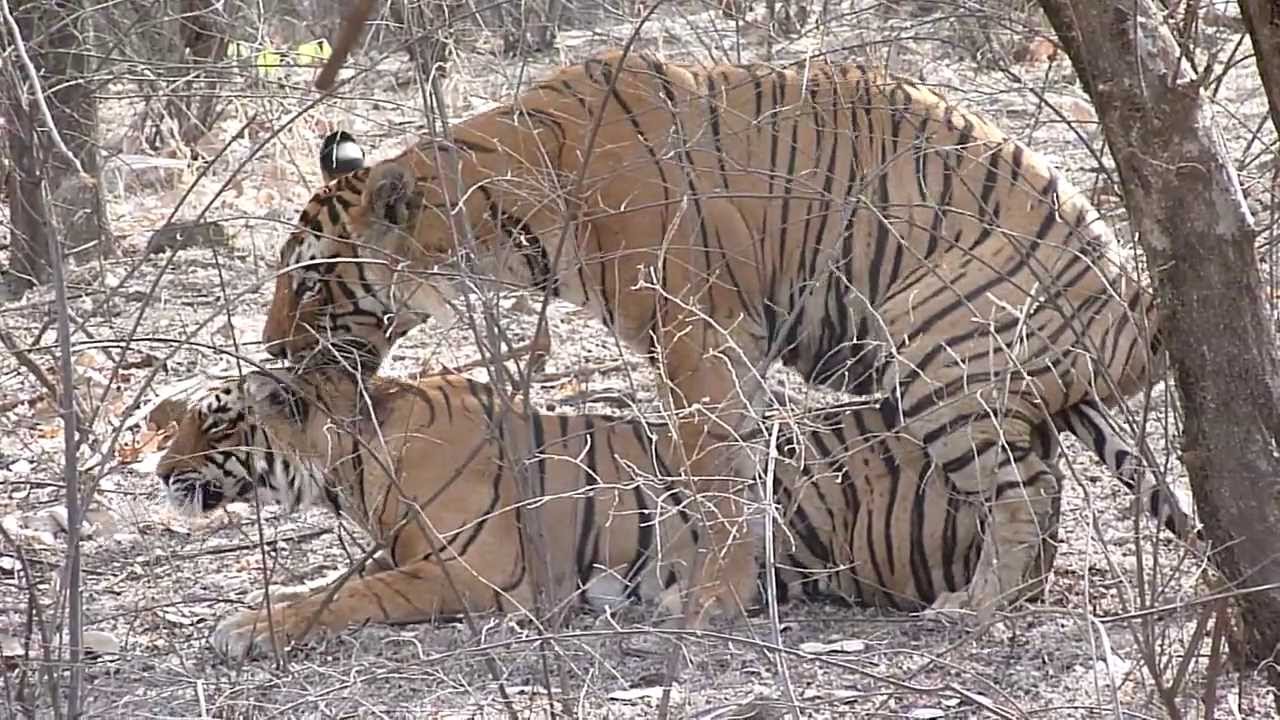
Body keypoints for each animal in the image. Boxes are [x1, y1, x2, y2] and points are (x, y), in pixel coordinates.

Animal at [159, 362, 1186, 658]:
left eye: (214, 419)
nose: (157, 467)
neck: (352, 466)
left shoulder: (482, 577)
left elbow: (349, 594)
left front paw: (246, 628)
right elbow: (334, 581)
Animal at [260, 50, 1193, 624]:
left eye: (308, 282)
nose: (270, 349)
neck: (496, 224)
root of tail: (1137, 301)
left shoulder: (693, 332)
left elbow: (714, 469)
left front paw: (714, 600)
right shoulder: (725, 346)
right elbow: (738, 466)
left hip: (927, 334)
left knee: (1022, 491)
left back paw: (977, 607)